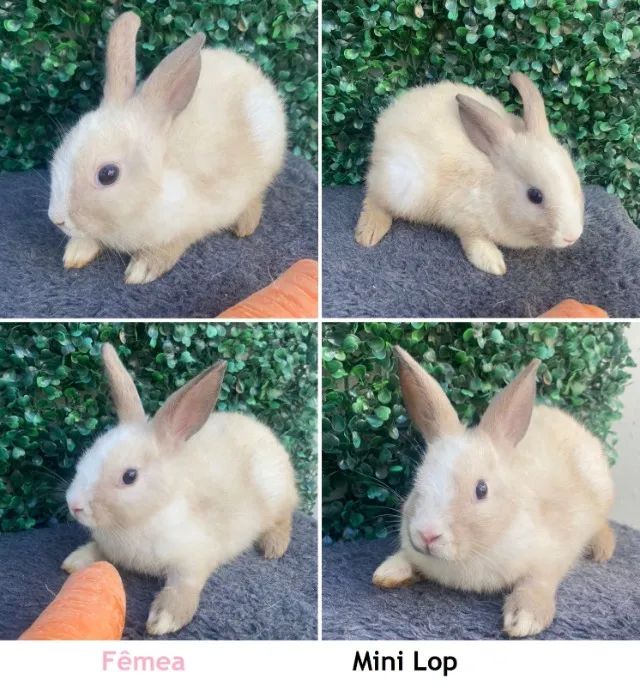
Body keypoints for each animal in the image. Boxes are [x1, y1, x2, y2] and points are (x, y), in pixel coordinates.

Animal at [48, 11, 287, 284]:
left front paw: (142, 269)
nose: (56, 219)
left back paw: (245, 226)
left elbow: (171, 245)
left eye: (108, 174)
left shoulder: (195, 219)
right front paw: (76, 252)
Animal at [62, 343, 299, 635]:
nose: (74, 505)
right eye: (87, 455)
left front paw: (164, 619)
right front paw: (76, 560)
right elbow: (98, 551)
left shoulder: (193, 560)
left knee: (284, 518)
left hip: (275, 494)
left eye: (130, 476)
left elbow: (184, 585)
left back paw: (273, 547)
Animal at [355, 73, 584, 275]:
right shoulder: (464, 217)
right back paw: (369, 233)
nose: (572, 237)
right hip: (401, 183)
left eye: (576, 182)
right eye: (535, 195)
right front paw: (492, 263)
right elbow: (474, 239)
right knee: (374, 198)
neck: (495, 189)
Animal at [373, 347, 615, 638]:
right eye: (418, 478)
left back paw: (602, 550)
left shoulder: (551, 557)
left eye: (481, 489)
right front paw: (389, 571)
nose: (427, 534)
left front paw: (525, 618)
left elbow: (538, 582)